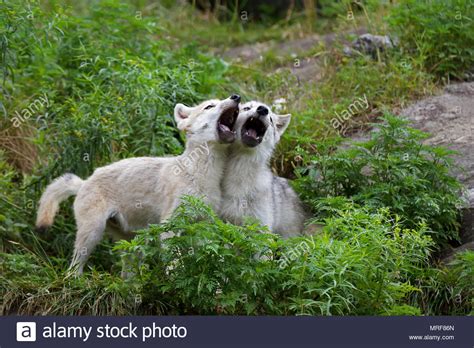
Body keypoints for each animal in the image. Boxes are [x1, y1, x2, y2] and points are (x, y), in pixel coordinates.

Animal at [35, 94, 241, 272]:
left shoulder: (203, 226)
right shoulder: (169, 227)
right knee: (73, 268)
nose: (236, 96)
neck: (201, 175)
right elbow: (175, 265)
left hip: (133, 247)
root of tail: (84, 182)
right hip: (92, 234)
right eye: (210, 106)